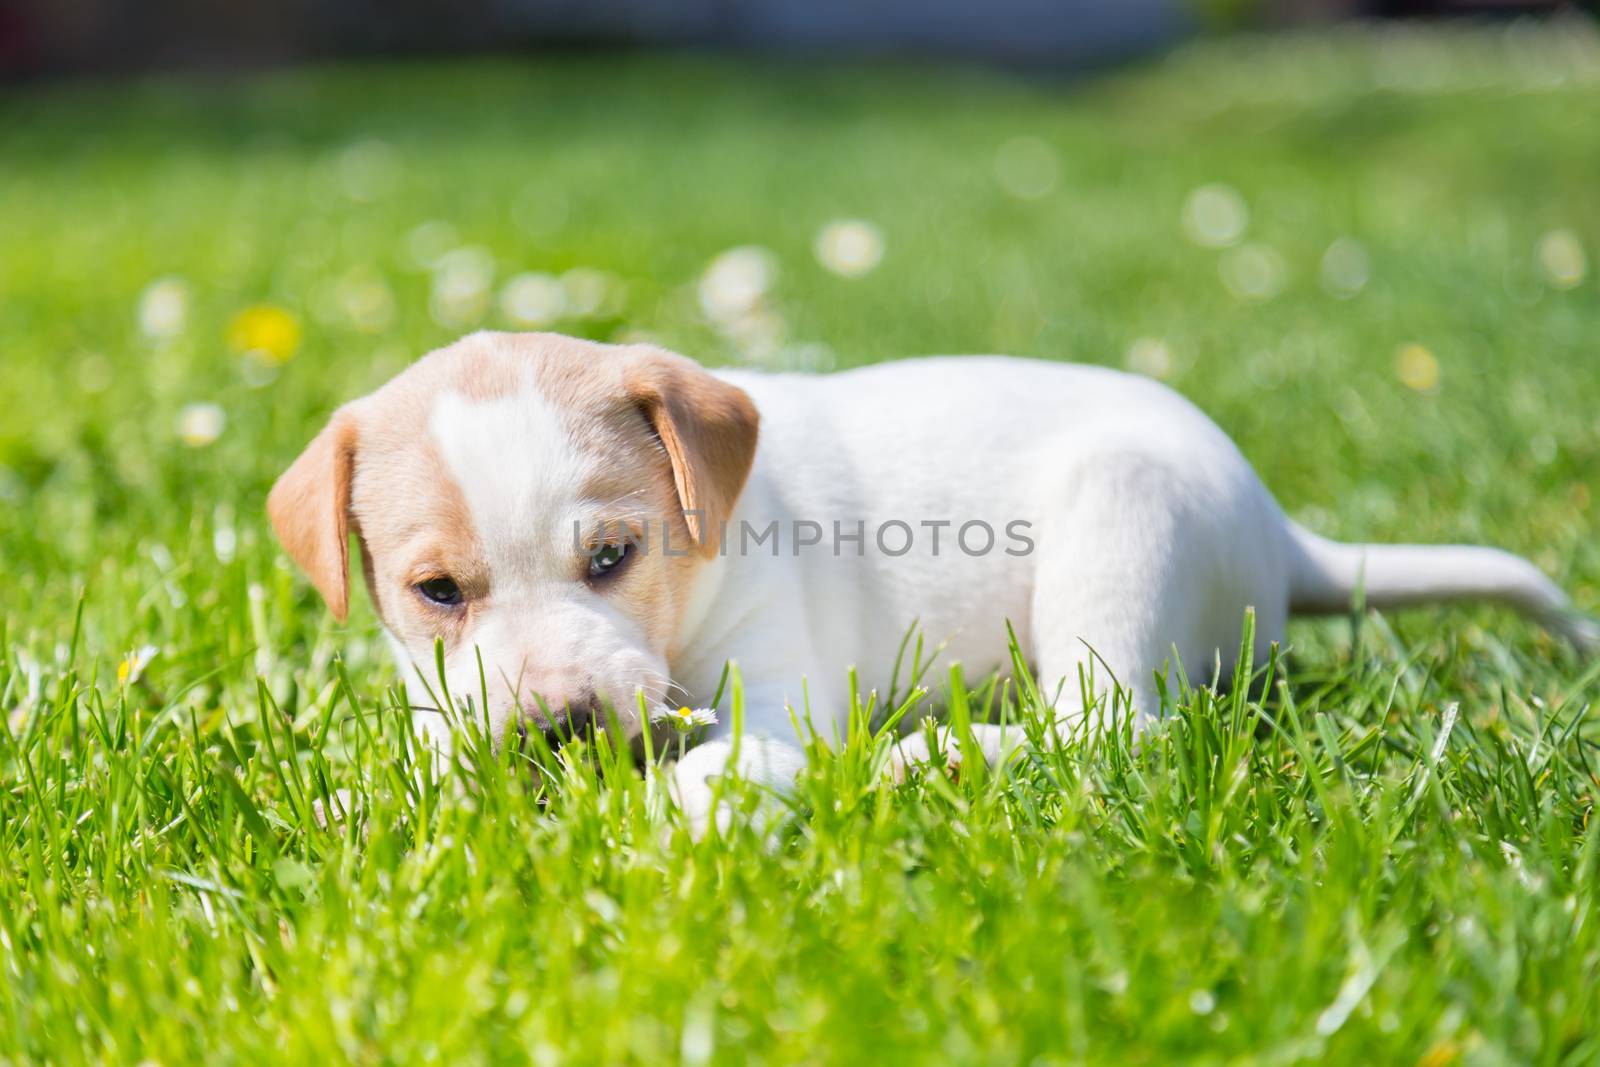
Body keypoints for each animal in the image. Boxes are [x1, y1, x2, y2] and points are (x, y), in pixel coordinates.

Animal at [268, 329, 1593, 825]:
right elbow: (425, 753)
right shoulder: (446, 702)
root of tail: (1277, 526)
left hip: (1120, 530)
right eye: (437, 592)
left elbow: (721, 763)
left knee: (1112, 721)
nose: (559, 729)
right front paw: (358, 808)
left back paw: (935, 753)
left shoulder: (775, 702)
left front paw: (664, 813)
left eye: (613, 555)